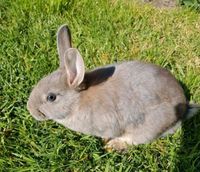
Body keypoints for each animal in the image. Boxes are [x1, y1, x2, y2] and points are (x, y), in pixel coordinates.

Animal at [27, 24, 199, 151]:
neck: (77, 101)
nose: (31, 110)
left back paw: (114, 145)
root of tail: (184, 107)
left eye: (51, 97)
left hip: (152, 124)